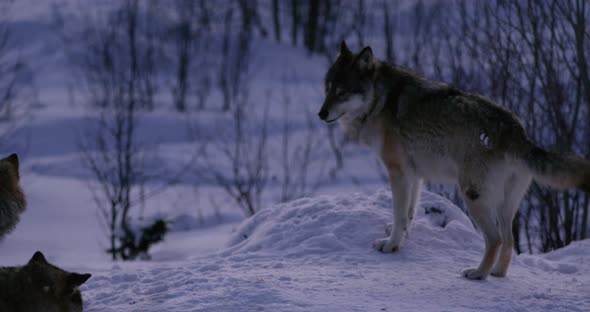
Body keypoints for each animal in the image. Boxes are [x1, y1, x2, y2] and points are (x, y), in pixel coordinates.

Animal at [320, 40, 590, 280]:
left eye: (342, 92)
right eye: (328, 88)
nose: (321, 114)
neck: (380, 100)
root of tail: (516, 132)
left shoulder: (398, 172)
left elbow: (399, 214)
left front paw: (391, 245)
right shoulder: (414, 175)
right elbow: (409, 213)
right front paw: (402, 237)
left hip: (472, 195)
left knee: (495, 239)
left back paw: (478, 274)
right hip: (504, 206)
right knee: (509, 240)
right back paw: (497, 273)